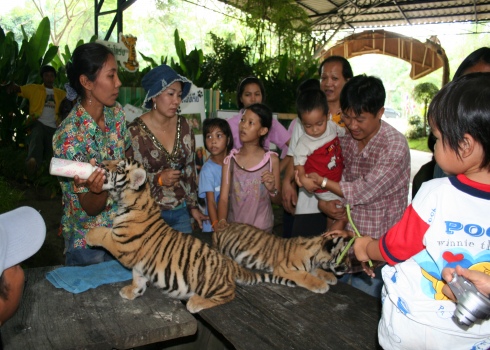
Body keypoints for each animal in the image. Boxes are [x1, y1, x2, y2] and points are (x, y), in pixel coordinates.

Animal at [84, 157, 294, 314]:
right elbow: (138, 278)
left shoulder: (121, 243)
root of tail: (229, 263)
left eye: (119, 167)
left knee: (229, 294)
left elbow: (103, 234)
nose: (101, 164)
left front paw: (89, 235)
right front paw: (132, 291)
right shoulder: (139, 263)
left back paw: (196, 302)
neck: (129, 201)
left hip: (213, 284)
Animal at [213, 221, 348, 292]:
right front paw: (322, 285)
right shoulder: (284, 269)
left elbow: (318, 271)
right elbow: (305, 276)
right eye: (345, 256)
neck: (315, 258)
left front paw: (330, 277)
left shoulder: (313, 266)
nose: (348, 268)